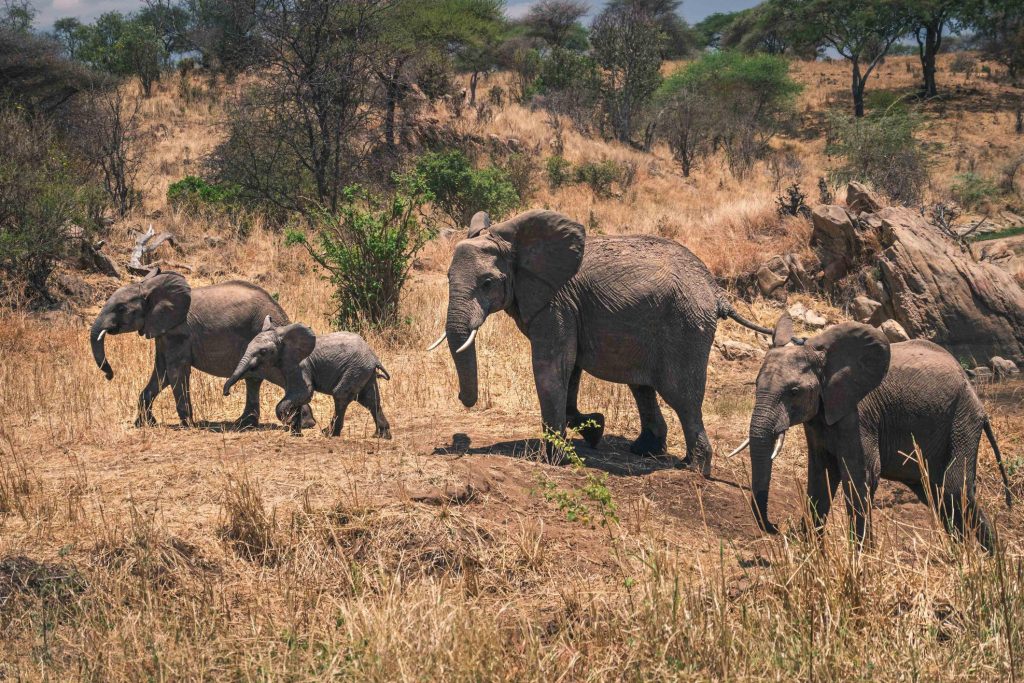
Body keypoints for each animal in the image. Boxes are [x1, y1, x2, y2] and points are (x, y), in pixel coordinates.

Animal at [90, 268, 313, 428]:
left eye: (121, 308)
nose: (109, 375)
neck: (151, 289)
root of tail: (280, 313)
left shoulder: (178, 332)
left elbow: (175, 372)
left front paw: (188, 424)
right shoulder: (163, 332)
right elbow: (161, 374)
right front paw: (145, 424)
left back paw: (304, 423)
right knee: (253, 379)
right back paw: (247, 424)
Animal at [223, 317, 391, 438]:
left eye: (263, 352)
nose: (226, 393)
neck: (284, 337)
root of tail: (374, 358)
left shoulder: (300, 366)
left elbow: (303, 393)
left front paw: (288, 421)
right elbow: (297, 396)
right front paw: (295, 433)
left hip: (355, 369)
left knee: (341, 395)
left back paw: (329, 433)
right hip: (364, 371)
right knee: (370, 400)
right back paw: (381, 436)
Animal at [428, 209, 772, 475]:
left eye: (487, 283)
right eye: (447, 278)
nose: (462, 399)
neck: (517, 244)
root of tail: (716, 291)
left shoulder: (556, 303)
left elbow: (551, 367)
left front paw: (555, 459)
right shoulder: (567, 309)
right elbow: (570, 370)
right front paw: (593, 428)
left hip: (686, 327)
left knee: (682, 397)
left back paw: (694, 469)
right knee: (643, 387)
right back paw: (646, 451)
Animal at [740, 315, 1012, 551]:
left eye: (794, 391)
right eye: (756, 384)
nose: (776, 527)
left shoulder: (859, 414)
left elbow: (861, 476)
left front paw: (861, 557)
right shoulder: (819, 417)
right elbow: (820, 477)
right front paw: (809, 553)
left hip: (962, 420)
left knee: (954, 490)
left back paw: (980, 559)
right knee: (940, 495)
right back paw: (978, 557)